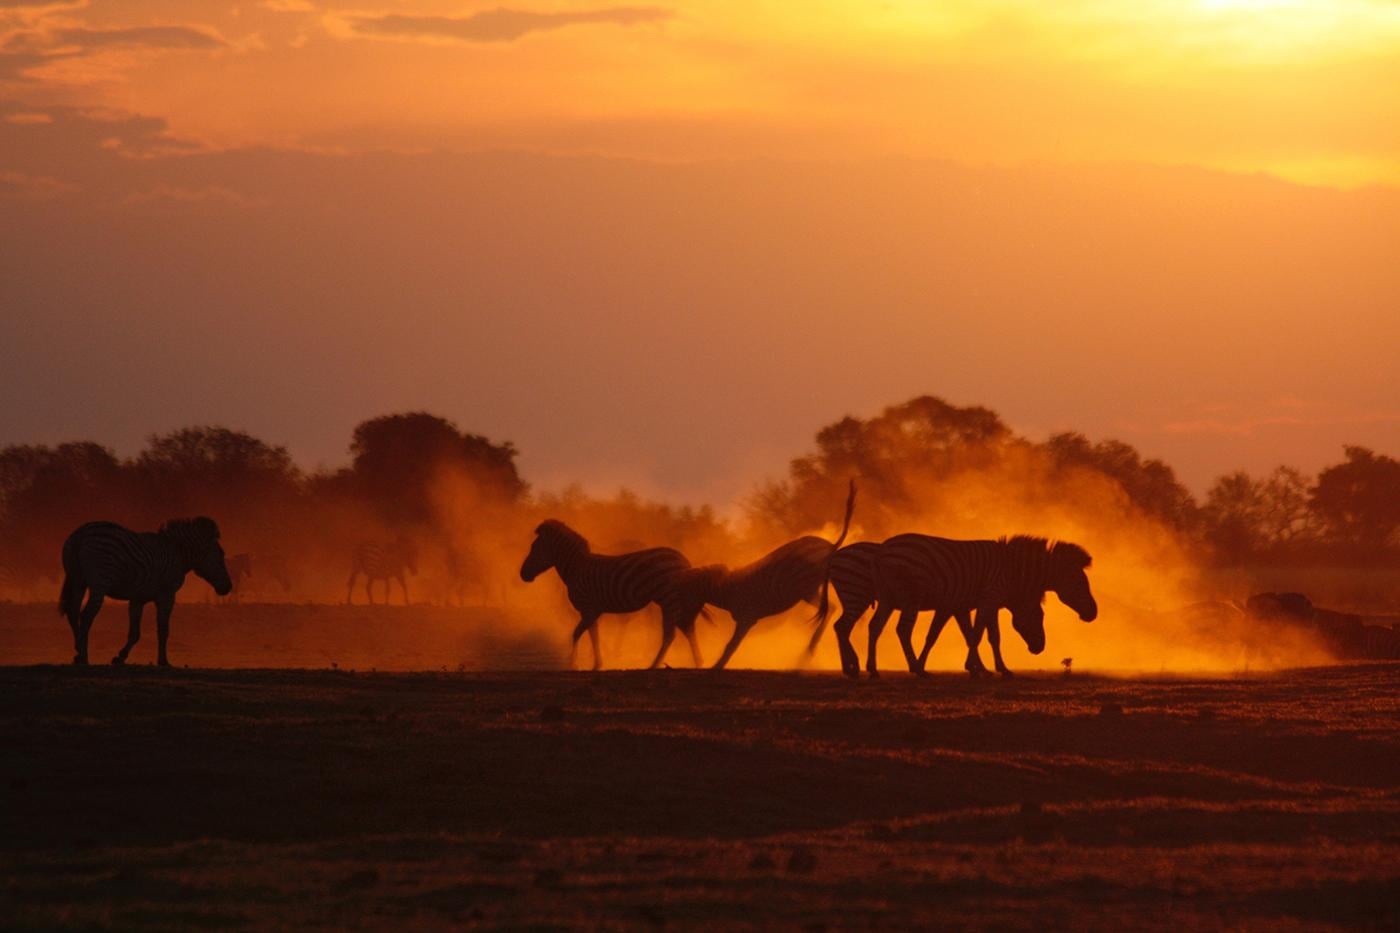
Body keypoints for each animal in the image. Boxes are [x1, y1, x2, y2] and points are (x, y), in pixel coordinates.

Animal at [57, 517, 233, 666]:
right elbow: (163, 630)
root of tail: (80, 534)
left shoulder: (138, 599)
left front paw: (120, 657)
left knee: (73, 612)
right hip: (99, 584)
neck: (178, 554)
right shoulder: (167, 595)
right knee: (86, 616)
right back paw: (84, 656)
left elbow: (135, 633)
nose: (228, 587)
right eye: (221, 555)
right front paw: (163, 662)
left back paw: (78, 651)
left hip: (78, 582)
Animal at [519, 519, 724, 670]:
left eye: (534, 547)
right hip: (672, 600)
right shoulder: (593, 611)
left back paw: (654, 665)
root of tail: (684, 560)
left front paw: (573, 664)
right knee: (686, 629)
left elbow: (577, 634)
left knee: (670, 634)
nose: (523, 575)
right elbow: (593, 635)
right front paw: (596, 664)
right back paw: (698, 663)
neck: (577, 568)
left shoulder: (588, 608)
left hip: (668, 599)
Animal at [708, 481, 856, 670]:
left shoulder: (748, 616)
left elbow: (731, 645)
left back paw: (807, 653)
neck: (730, 589)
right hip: (813, 589)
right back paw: (809, 653)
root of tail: (831, 546)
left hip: (806, 589)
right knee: (833, 609)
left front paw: (716, 666)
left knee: (830, 608)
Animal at [855, 534, 1098, 679]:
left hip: (888, 598)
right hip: (910, 598)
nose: (1093, 614)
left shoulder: (974, 604)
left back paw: (873, 669)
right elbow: (978, 635)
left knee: (875, 627)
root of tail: (882, 551)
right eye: (1080, 583)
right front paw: (977, 668)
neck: (1013, 571)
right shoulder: (987, 599)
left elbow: (985, 636)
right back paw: (914, 668)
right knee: (903, 630)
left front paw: (994, 668)